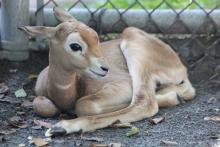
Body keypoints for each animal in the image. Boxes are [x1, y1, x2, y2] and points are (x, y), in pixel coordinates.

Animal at [19, 6, 195, 136]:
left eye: (96, 38)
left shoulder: (122, 85)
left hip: (135, 48)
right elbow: (41, 105)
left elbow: (84, 105)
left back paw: (61, 128)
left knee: (145, 103)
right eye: (75, 45)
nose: (105, 68)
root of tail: (179, 64)